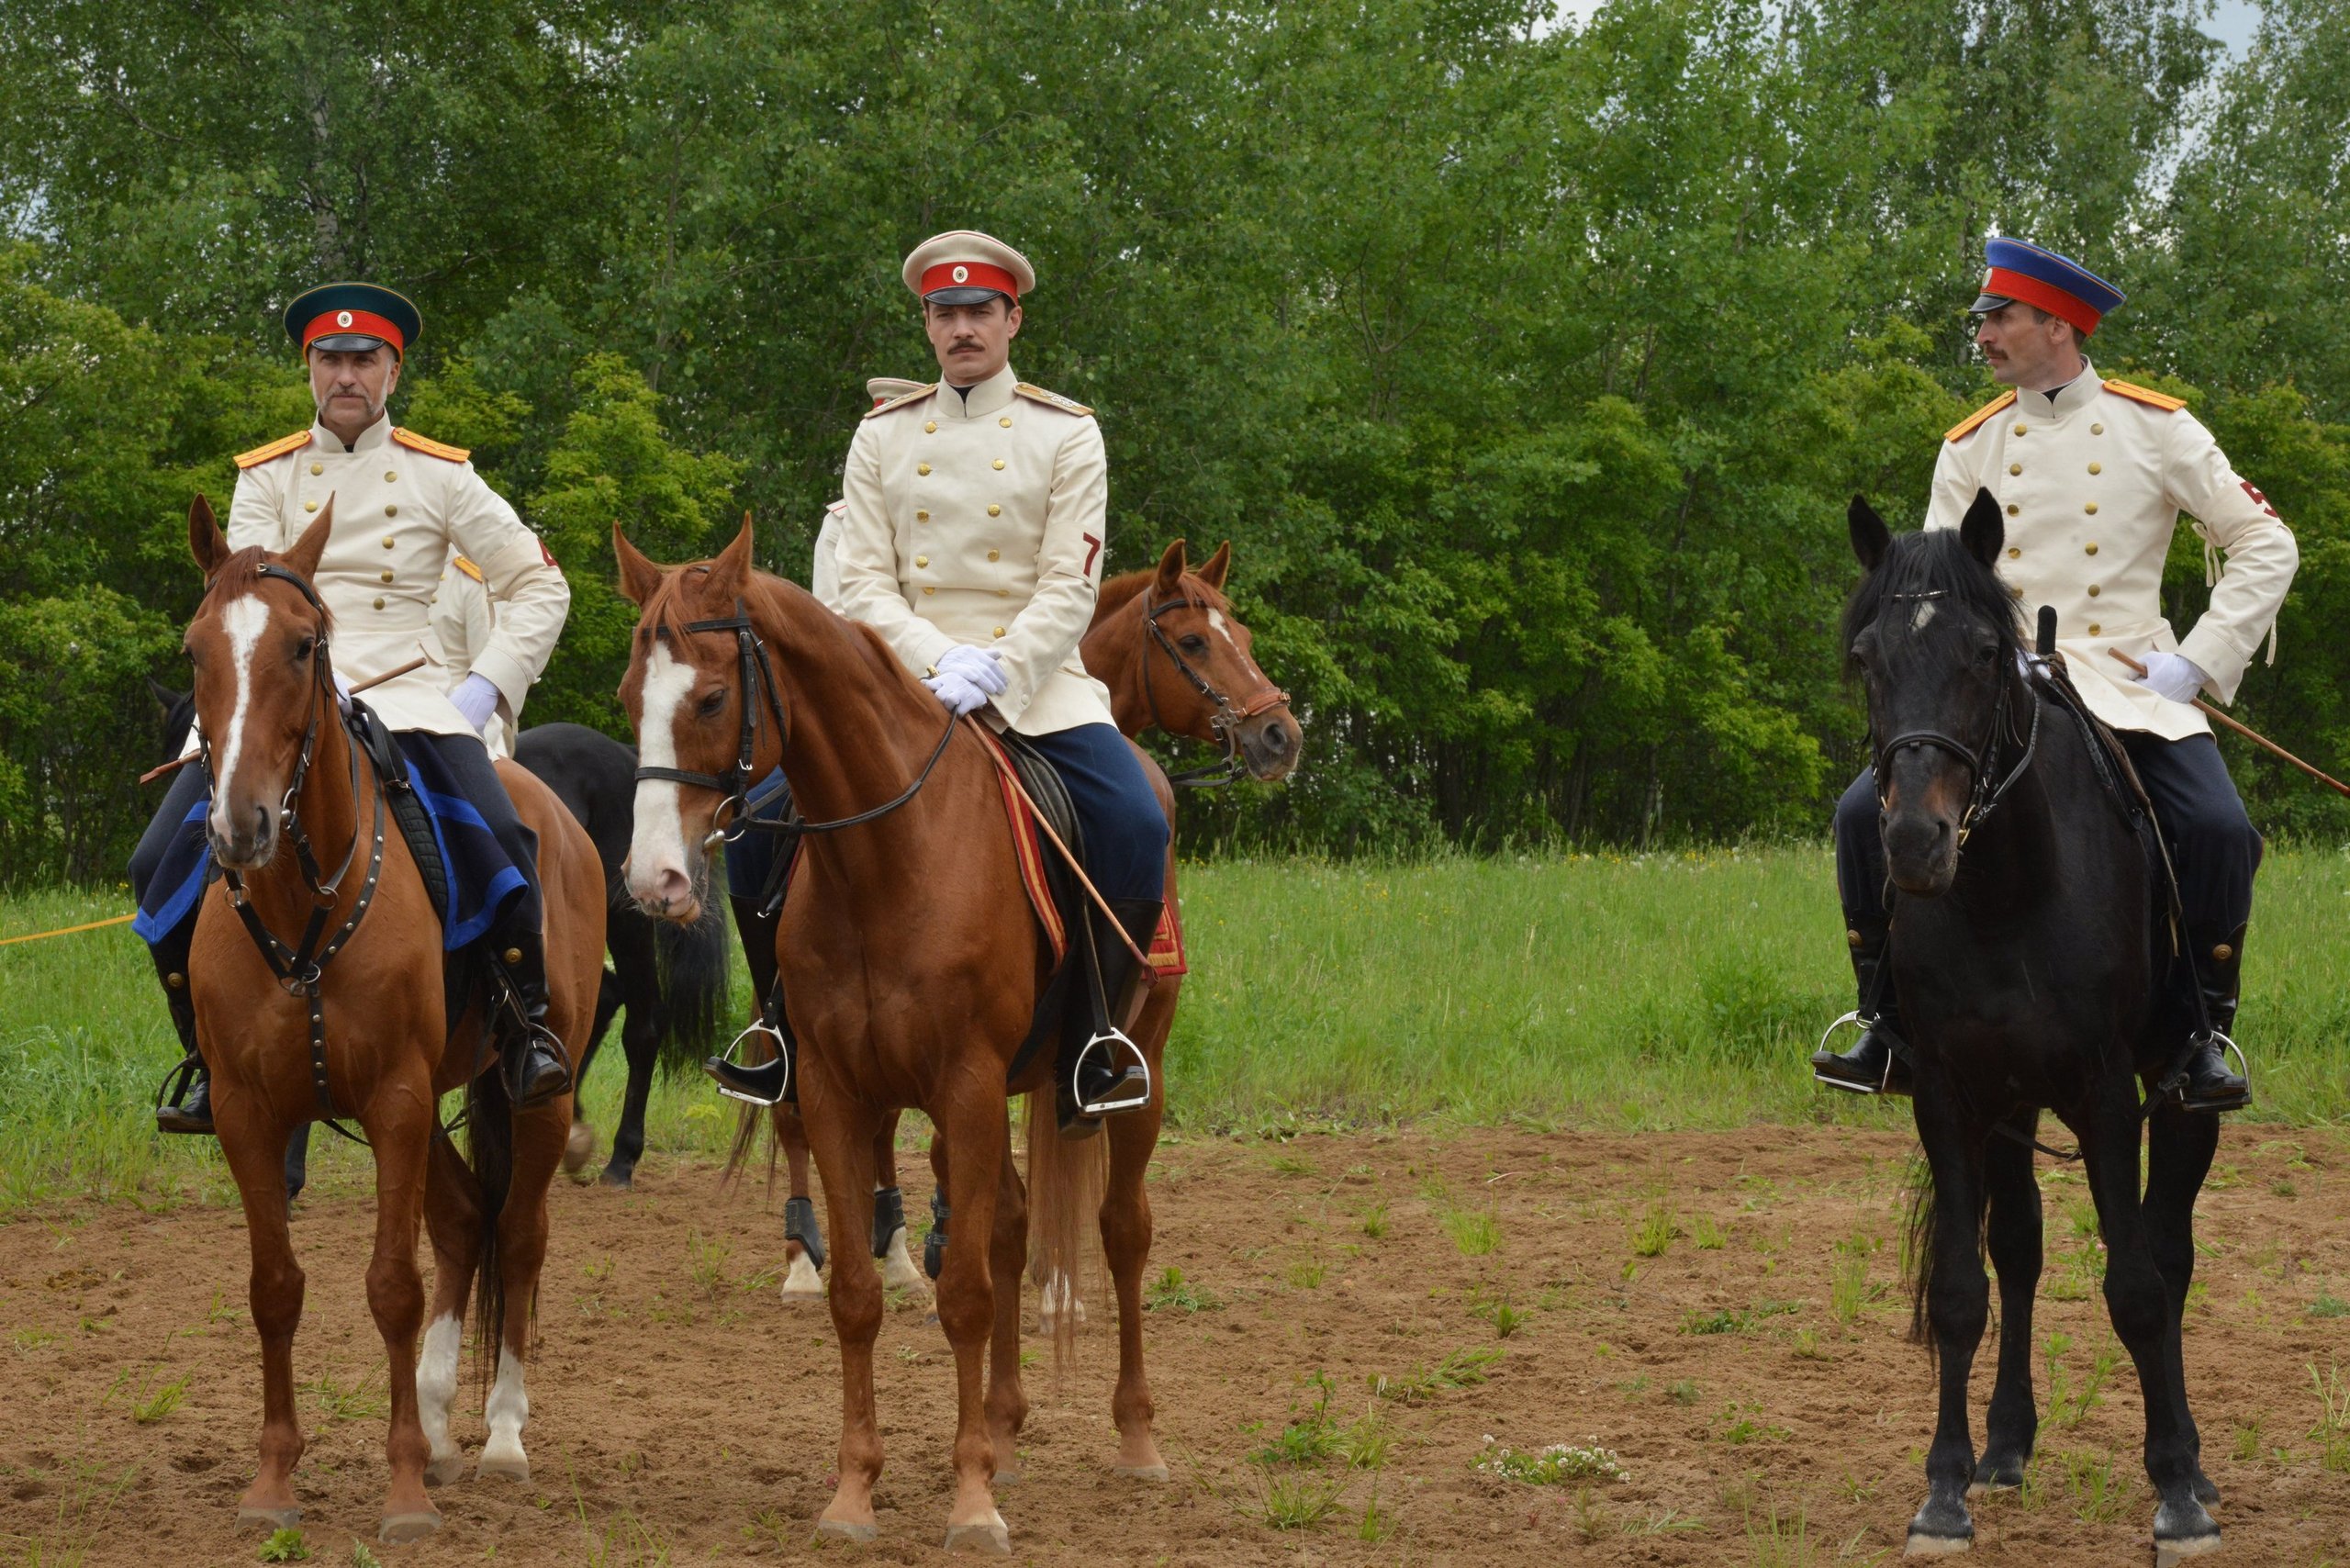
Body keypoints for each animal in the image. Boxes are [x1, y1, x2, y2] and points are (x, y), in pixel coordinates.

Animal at [184, 502, 606, 1541]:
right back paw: (439, 1418)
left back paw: (499, 1436)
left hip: (534, 1092)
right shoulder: (250, 1114)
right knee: (462, 1221)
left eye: (304, 646)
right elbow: (275, 1288)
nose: (240, 826)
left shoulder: (399, 1100)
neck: (301, 901)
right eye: (194, 650)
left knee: (519, 1234)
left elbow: (391, 1286)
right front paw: (273, 1481)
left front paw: (405, 1488)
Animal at [620, 521, 1175, 1551]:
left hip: (1133, 1076)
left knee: (1122, 1232)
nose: (653, 882)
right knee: (1012, 1226)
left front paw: (971, 1504)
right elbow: (857, 1294)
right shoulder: (839, 1093)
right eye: (631, 699)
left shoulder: (964, 1084)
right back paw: (1002, 1426)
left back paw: (1135, 1438)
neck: (886, 860)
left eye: (711, 697)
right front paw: (855, 1492)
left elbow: (963, 1295)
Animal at [1832, 487, 2218, 1561]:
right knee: (2022, 1248)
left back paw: (2194, 1460)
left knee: (2170, 1252)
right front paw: (1944, 1490)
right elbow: (1966, 1287)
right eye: (1866, 657)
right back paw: (2005, 1445)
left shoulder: (2105, 1093)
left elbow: (2137, 1287)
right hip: (2009, 1109)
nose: (1914, 842)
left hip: (2181, 1096)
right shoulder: (1951, 1093)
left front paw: (2174, 1490)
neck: (2006, 890)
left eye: (1979, 652)